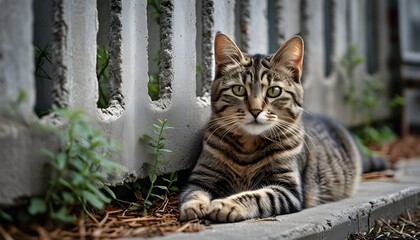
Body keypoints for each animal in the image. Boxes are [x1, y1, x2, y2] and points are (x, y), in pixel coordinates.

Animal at [180, 32, 360, 223]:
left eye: (274, 91)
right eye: (238, 89)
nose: (255, 110)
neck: (248, 147)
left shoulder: (287, 188)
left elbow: (257, 196)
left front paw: (227, 204)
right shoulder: (202, 178)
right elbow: (193, 193)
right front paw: (193, 206)